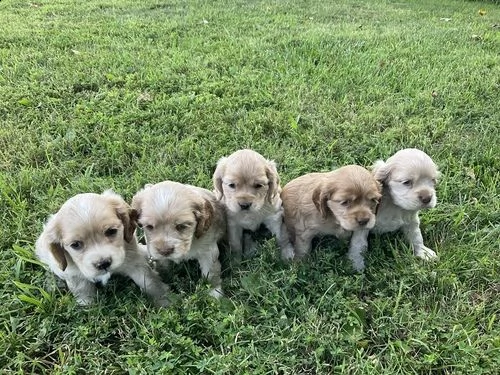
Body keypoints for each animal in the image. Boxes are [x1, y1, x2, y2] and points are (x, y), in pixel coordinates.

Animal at [34, 189, 172, 306]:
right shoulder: (73, 274)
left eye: (111, 231)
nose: (103, 264)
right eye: (76, 244)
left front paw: (165, 301)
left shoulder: (134, 261)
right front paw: (89, 307)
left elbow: (149, 281)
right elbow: (82, 289)